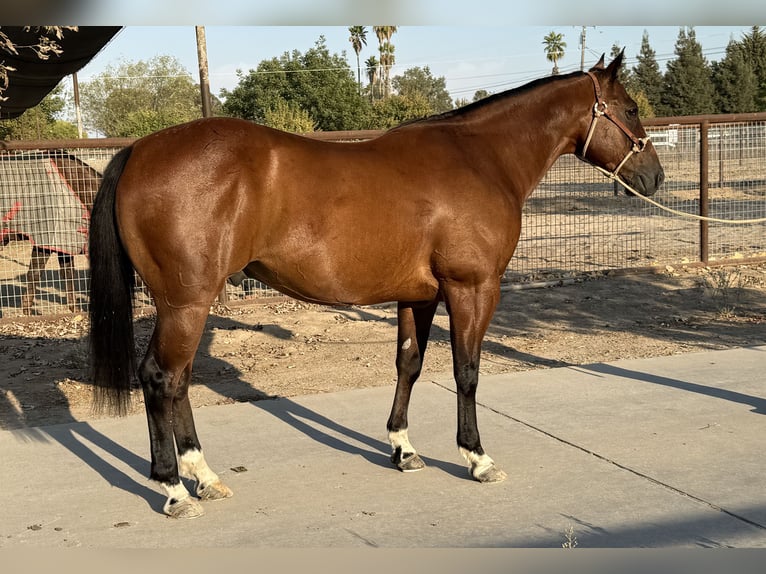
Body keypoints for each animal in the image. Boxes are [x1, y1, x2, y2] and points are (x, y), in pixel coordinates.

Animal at [88, 53, 664, 518]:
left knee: (179, 381)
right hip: (186, 303)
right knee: (161, 378)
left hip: (188, 306)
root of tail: (139, 151)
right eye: (632, 108)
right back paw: (174, 490)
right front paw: (477, 458)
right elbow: (467, 371)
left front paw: (403, 450)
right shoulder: (472, 288)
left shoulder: (418, 295)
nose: (655, 178)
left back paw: (203, 478)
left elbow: (409, 364)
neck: (482, 157)